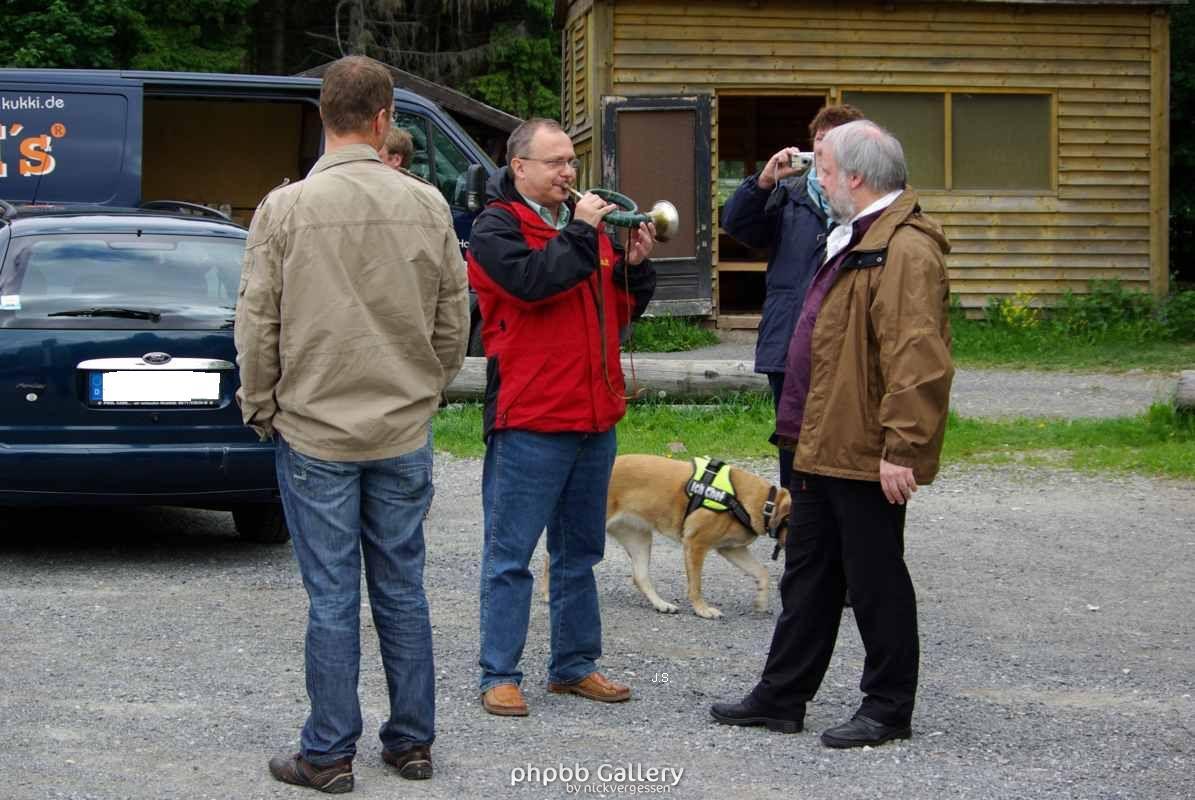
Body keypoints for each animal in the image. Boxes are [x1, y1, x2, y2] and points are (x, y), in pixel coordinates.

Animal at [542, 454, 790, 619]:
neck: (766, 503)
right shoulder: (696, 544)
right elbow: (696, 586)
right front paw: (702, 609)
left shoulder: (731, 549)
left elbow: (762, 573)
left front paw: (761, 601)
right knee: (549, 559)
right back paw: (546, 592)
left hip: (639, 538)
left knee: (640, 577)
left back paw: (661, 604)